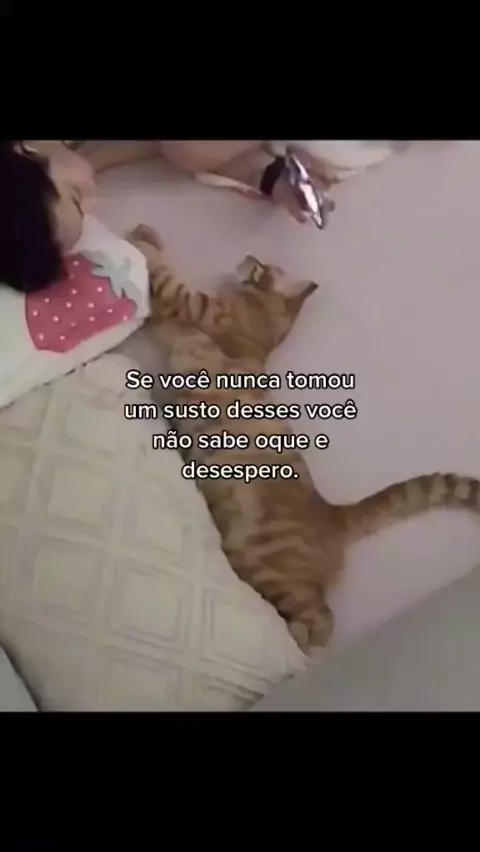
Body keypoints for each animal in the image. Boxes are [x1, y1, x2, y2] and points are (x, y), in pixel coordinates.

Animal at [126, 224, 480, 653]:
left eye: (261, 266)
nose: (247, 257)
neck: (266, 324)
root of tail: (333, 513)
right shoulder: (170, 325)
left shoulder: (200, 308)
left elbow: (166, 277)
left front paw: (143, 239)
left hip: (273, 571)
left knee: (321, 623)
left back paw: (296, 645)